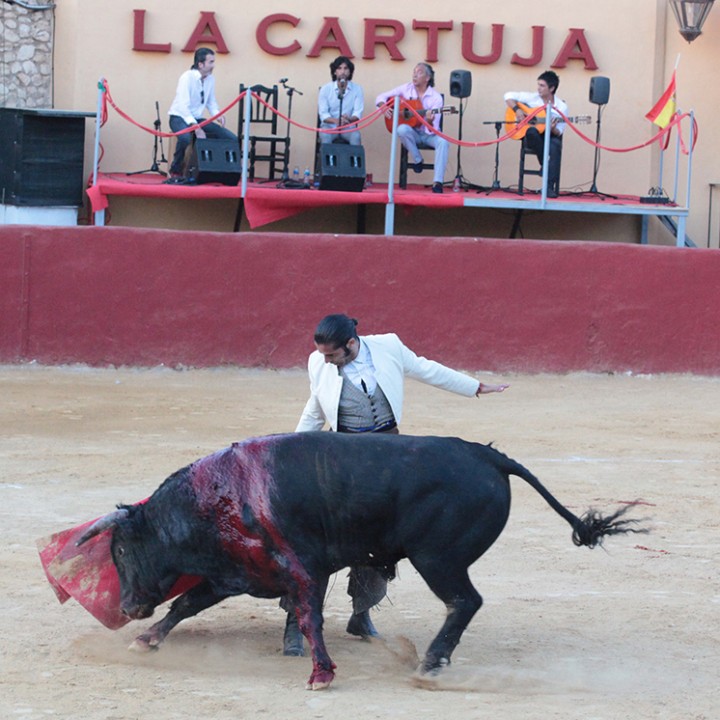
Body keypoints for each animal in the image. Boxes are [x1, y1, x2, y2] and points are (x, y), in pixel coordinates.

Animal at [76, 430, 644, 688]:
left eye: (121, 549)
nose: (126, 607)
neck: (215, 496)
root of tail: (488, 454)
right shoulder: (232, 572)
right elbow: (186, 604)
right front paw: (146, 641)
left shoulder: (301, 570)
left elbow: (309, 617)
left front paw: (321, 674)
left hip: (437, 559)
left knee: (465, 601)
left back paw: (429, 664)